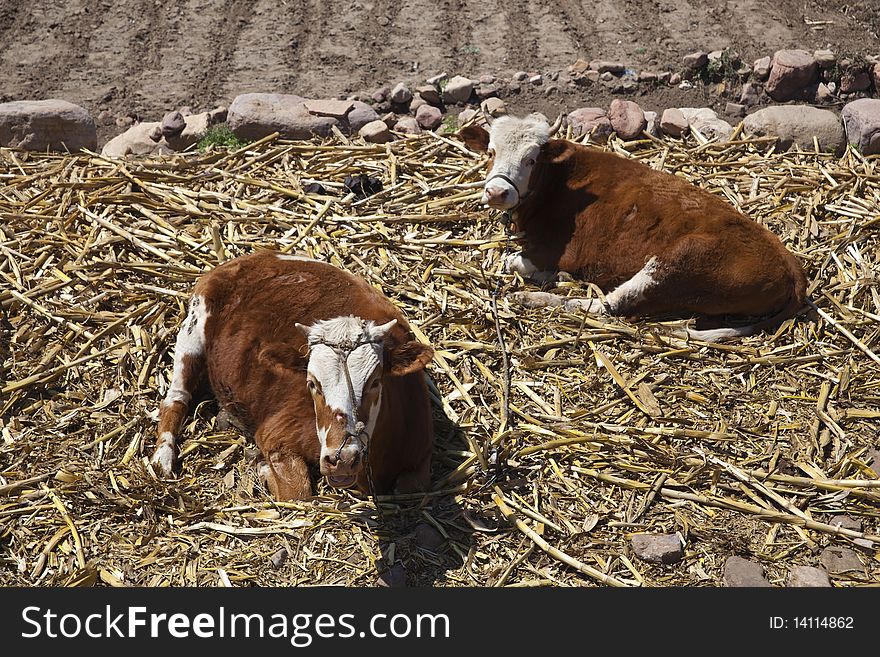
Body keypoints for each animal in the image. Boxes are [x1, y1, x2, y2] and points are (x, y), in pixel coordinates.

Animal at [154, 250, 436, 498]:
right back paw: (162, 458)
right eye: (312, 384)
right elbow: (297, 493)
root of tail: (257, 256)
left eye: (376, 382)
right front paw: (262, 465)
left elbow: (411, 486)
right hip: (194, 326)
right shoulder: (277, 433)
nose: (342, 459)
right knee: (176, 397)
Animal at [460, 113, 812, 340]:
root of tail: (790, 265)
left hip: (677, 263)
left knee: (608, 305)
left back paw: (536, 297)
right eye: (491, 152)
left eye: (531, 159)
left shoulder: (554, 250)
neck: (559, 182)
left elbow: (512, 262)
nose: (497, 192)